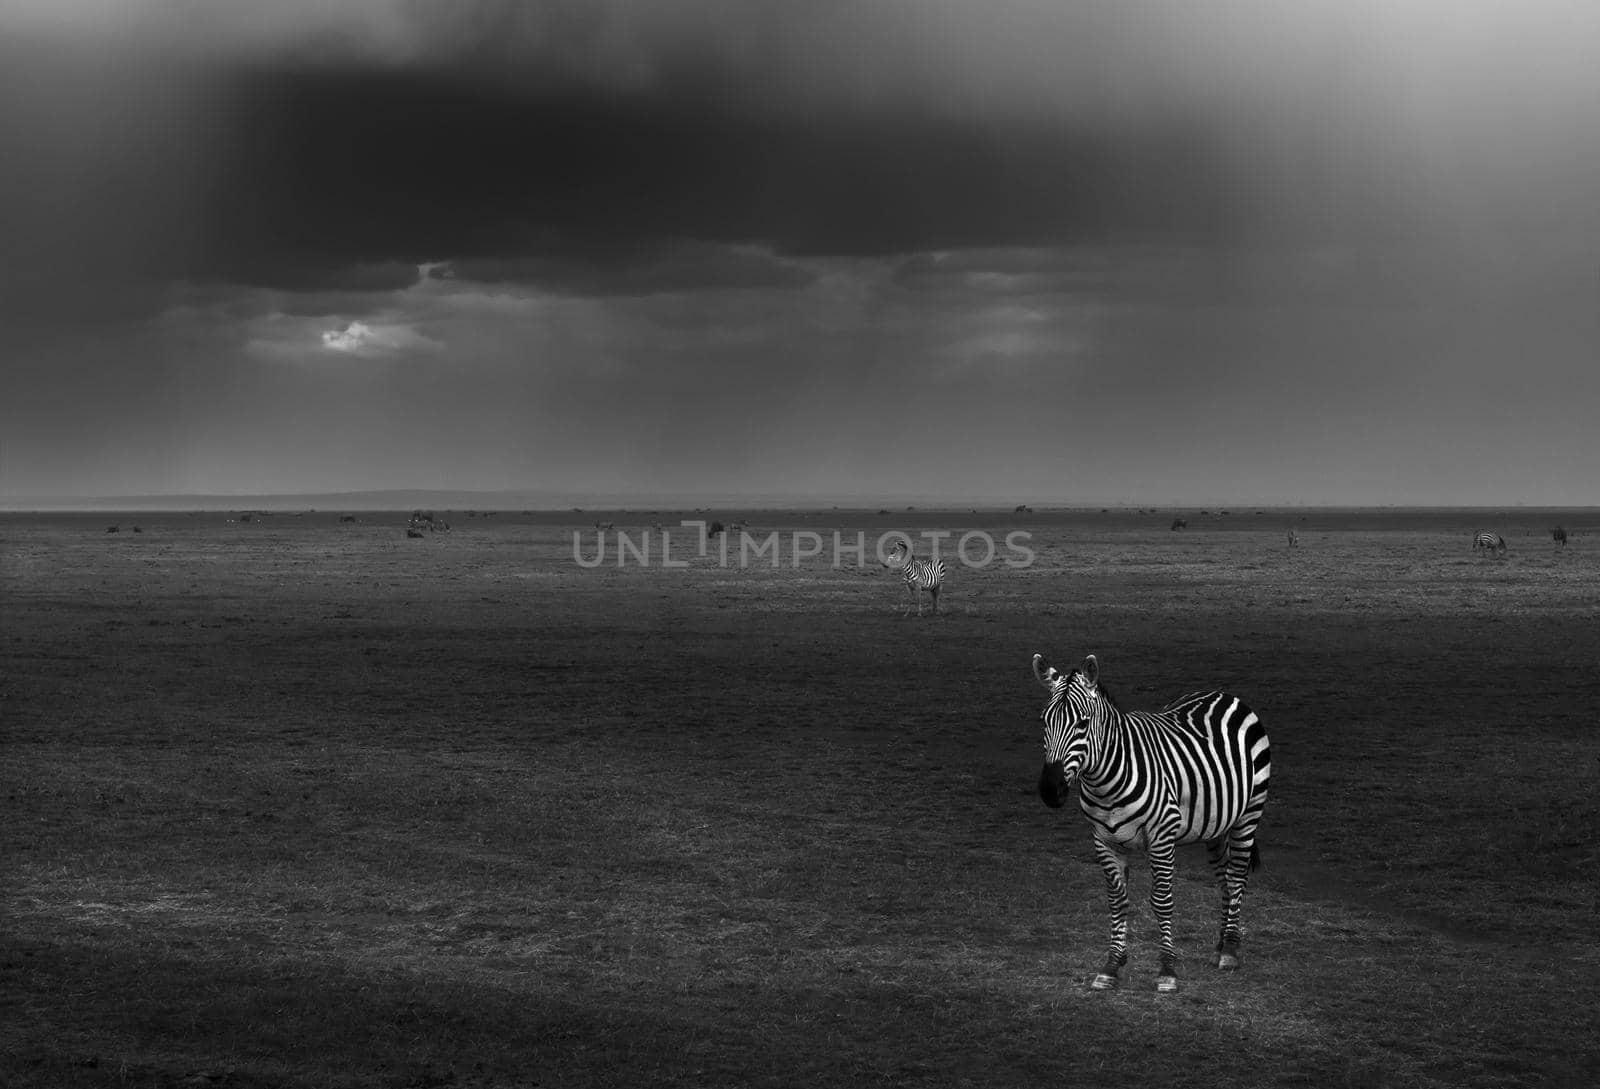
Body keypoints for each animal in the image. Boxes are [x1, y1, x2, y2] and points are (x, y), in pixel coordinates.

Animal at [1036, 649, 1273, 991]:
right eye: (1045, 720)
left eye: (1083, 722)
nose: (1050, 790)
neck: (1106, 780)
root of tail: (1223, 694)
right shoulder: (1103, 840)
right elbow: (1117, 901)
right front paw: (1111, 966)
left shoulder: (1161, 836)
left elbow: (1161, 901)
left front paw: (1167, 970)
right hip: (1216, 824)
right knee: (1223, 877)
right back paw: (1220, 945)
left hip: (1249, 813)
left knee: (1237, 875)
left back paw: (1230, 950)